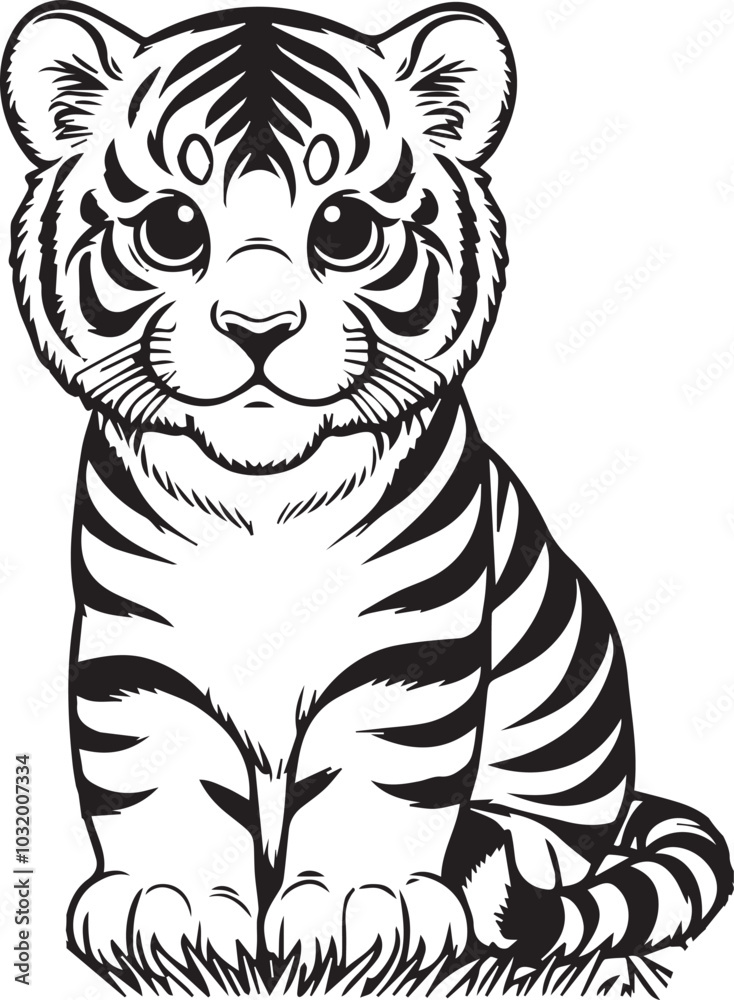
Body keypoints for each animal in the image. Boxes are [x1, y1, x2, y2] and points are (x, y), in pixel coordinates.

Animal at [2, 1, 731, 993]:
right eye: (173, 227)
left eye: (344, 226)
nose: (258, 329)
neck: (261, 495)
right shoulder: (139, 652)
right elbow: (159, 774)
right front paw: (171, 908)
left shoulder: (407, 652)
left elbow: (377, 779)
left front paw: (356, 912)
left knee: (546, 852)